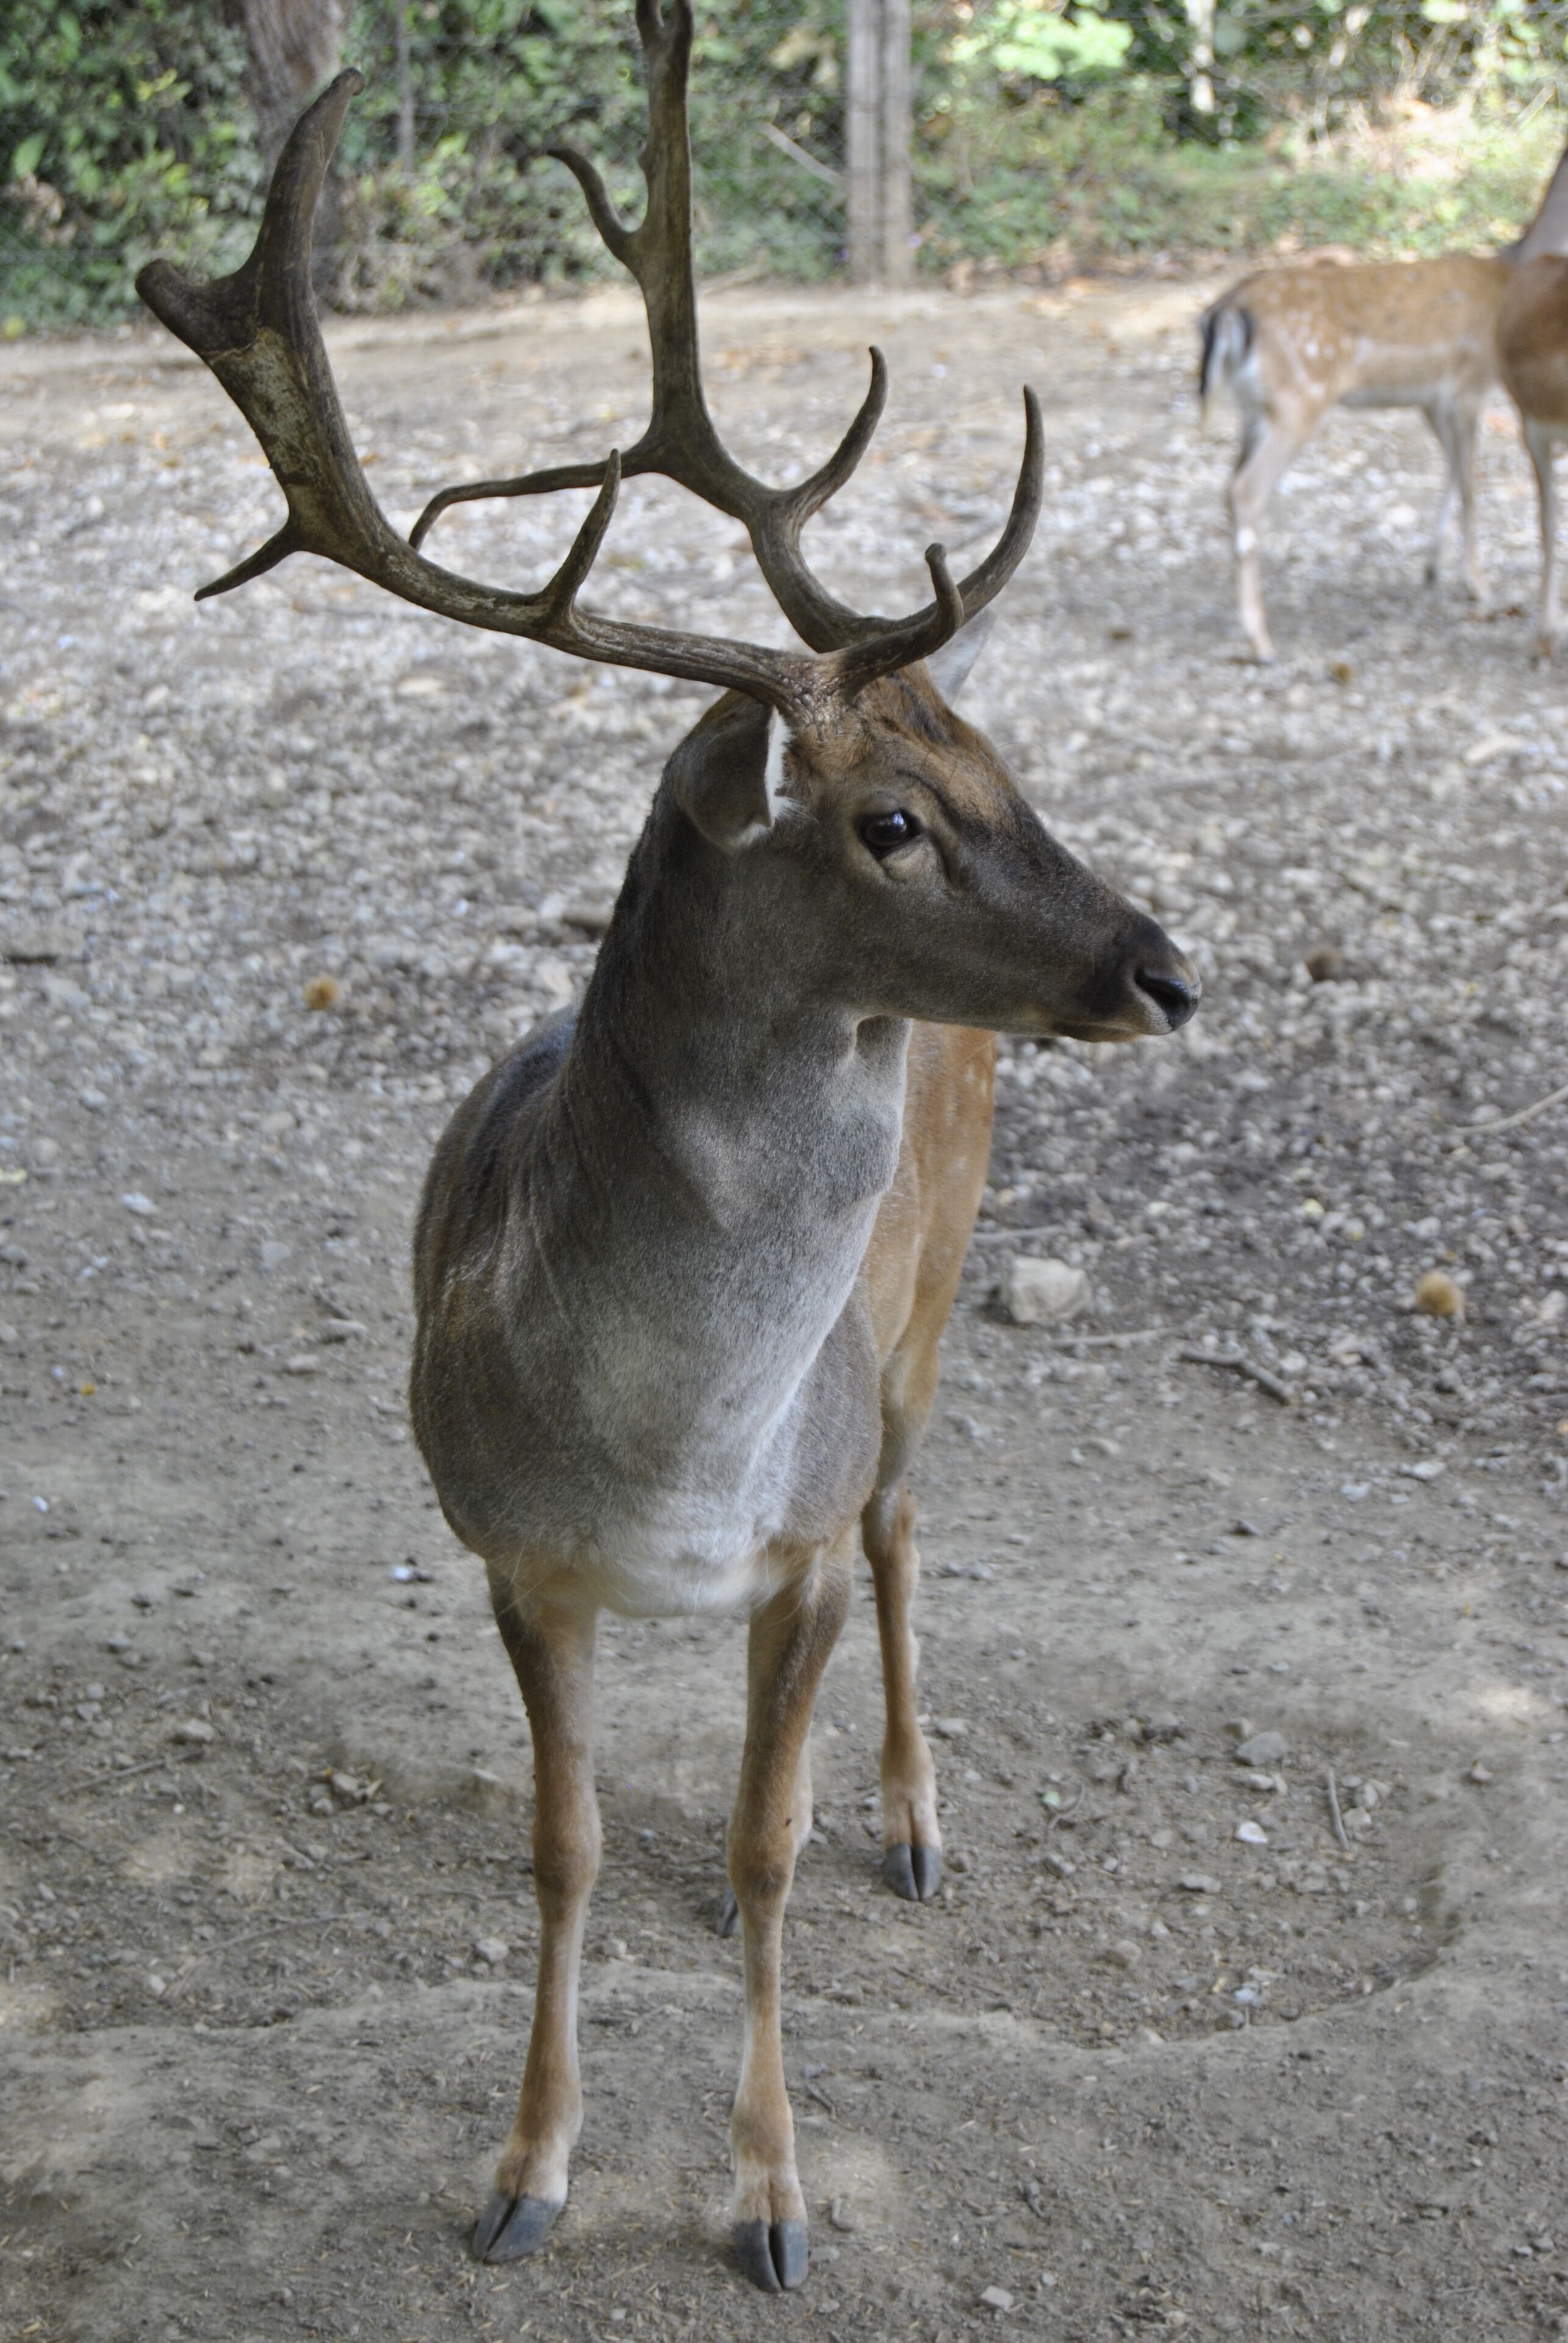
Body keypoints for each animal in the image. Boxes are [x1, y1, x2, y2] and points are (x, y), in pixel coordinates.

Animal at [137, 2, 1199, 2296]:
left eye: (1008, 762)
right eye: (889, 817)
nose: (1163, 967)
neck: (674, 1452)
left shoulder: (787, 1539)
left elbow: (771, 1842)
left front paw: (777, 2196)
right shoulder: (504, 1546)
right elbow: (567, 1842)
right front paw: (523, 2173)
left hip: (927, 1313)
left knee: (905, 1521)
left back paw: (916, 1813)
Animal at [1198, 135, 1568, 663]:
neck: (1513, 269)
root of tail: (1227, 311)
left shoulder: (1432, 398)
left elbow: (1451, 475)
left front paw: (1433, 569)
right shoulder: (1470, 385)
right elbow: (1471, 485)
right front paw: (1478, 584)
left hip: (1254, 409)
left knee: (1228, 485)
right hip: (1298, 400)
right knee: (1246, 490)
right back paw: (1261, 641)